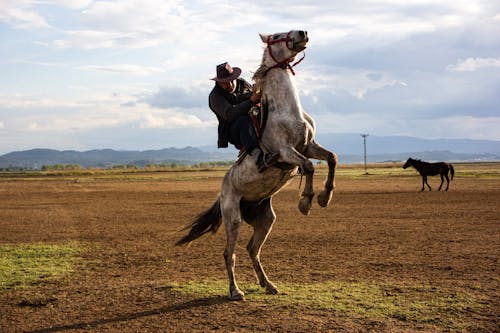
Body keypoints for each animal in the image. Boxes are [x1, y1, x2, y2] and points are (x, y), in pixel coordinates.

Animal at [178, 31, 338, 300]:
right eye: (276, 35)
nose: (303, 33)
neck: (287, 111)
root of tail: (222, 192)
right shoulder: (286, 152)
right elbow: (309, 167)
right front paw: (305, 202)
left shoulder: (309, 145)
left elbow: (332, 158)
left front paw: (324, 197)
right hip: (233, 219)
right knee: (229, 254)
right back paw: (235, 291)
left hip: (265, 220)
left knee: (253, 249)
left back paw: (268, 284)